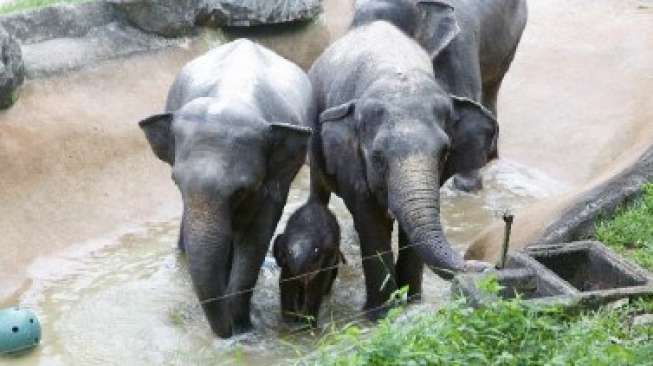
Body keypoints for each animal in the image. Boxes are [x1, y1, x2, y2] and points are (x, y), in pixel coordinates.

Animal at [138, 39, 314, 338]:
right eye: (176, 182)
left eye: (241, 190)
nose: (227, 333)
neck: (230, 94)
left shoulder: (274, 180)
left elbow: (256, 238)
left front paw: (243, 329)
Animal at [306, 21, 494, 318]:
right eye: (378, 157)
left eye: (444, 153)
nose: (487, 266)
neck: (392, 72)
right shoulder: (353, 165)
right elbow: (371, 222)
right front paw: (380, 314)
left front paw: (413, 302)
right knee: (319, 187)